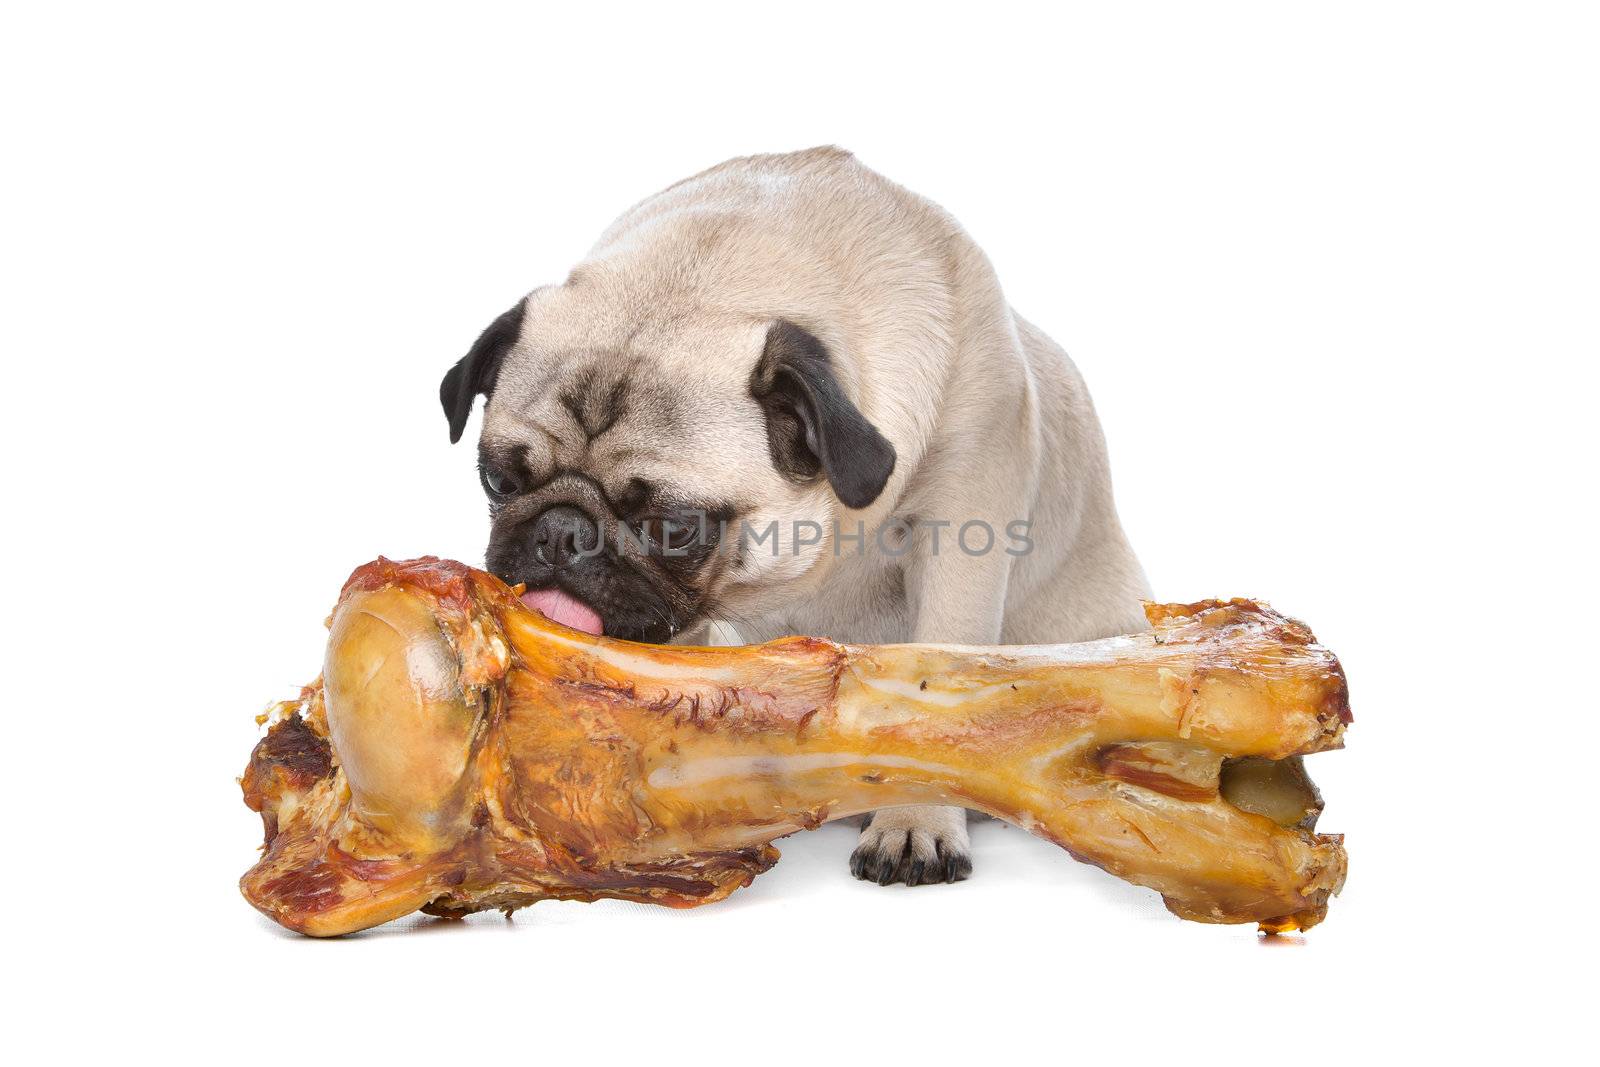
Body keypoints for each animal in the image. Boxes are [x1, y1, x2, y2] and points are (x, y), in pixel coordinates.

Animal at [441, 147, 1152, 883]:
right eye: (498, 479)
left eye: (675, 525)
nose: (560, 531)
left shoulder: (962, 535)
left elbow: (935, 681)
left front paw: (916, 821)